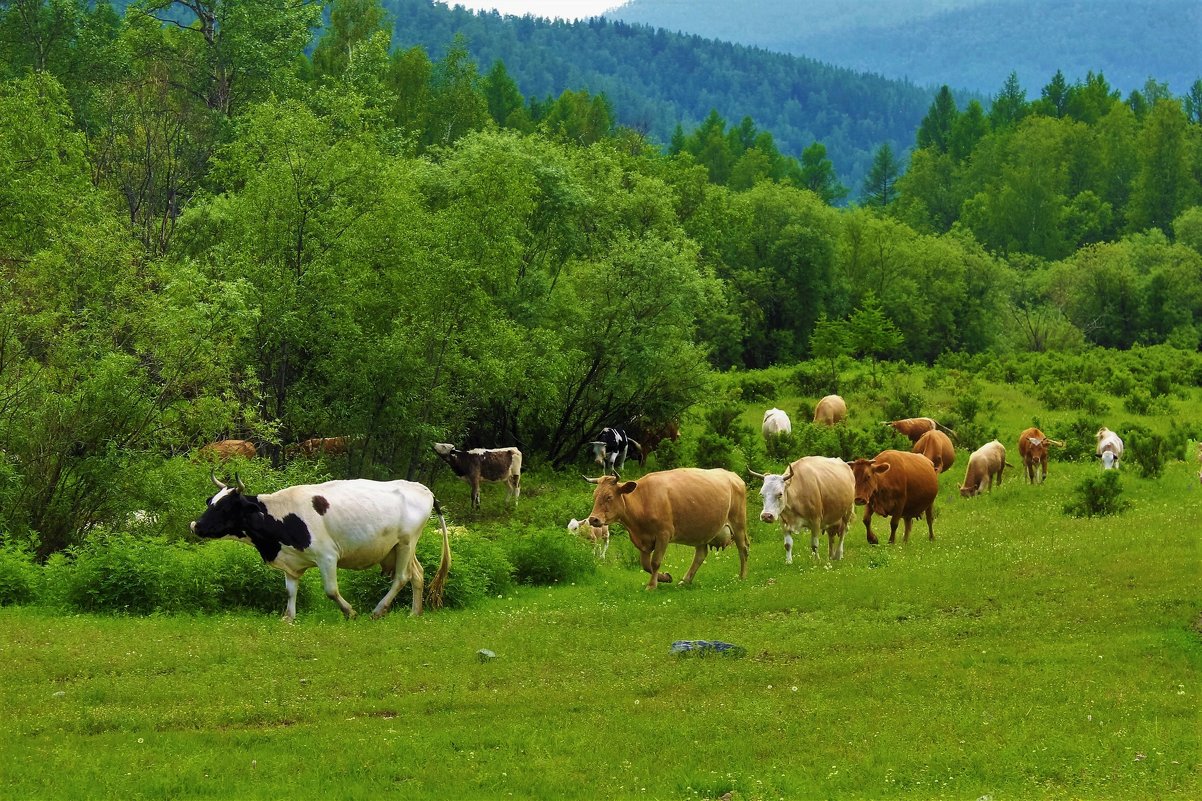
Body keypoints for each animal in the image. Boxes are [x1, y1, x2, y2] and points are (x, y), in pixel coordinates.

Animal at [189, 471, 451, 620]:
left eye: (225, 507)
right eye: (210, 502)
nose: (195, 525)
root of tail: (422, 488)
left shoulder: (327, 556)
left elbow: (331, 591)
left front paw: (350, 612)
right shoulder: (291, 562)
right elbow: (290, 591)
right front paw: (288, 617)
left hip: (407, 541)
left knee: (401, 578)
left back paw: (378, 611)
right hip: (399, 547)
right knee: (417, 574)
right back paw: (414, 612)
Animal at [586, 464, 745, 589]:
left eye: (609, 497)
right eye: (595, 496)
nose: (593, 519)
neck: (642, 500)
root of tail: (733, 475)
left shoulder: (663, 534)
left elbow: (655, 562)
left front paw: (652, 585)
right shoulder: (643, 540)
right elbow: (646, 565)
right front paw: (665, 577)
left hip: (739, 524)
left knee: (743, 549)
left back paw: (742, 577)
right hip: (703, 531)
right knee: (700, 555)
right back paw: (685, 581)